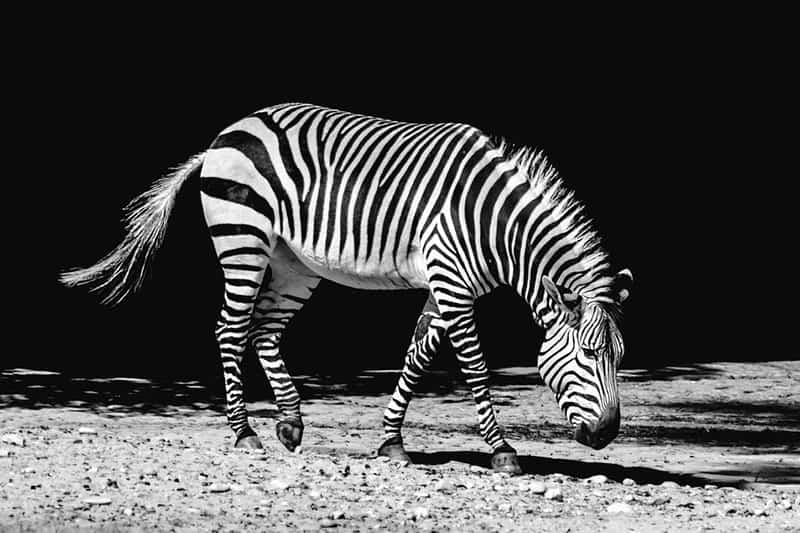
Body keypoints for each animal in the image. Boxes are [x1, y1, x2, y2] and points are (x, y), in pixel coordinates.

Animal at [61, 103, 632, 475]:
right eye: (587, 354)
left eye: (619, 357)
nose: (607, 435)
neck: (494, 223)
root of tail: (230, 129)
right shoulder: (451, 281)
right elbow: (473, 365)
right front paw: (501, 451)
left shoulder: (446, 285)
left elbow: (417, 356)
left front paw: (391, 442)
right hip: (242, 238)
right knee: (230, 329)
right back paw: (244, 432)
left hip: (294, 261)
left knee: (264, 332)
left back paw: (290, 424)